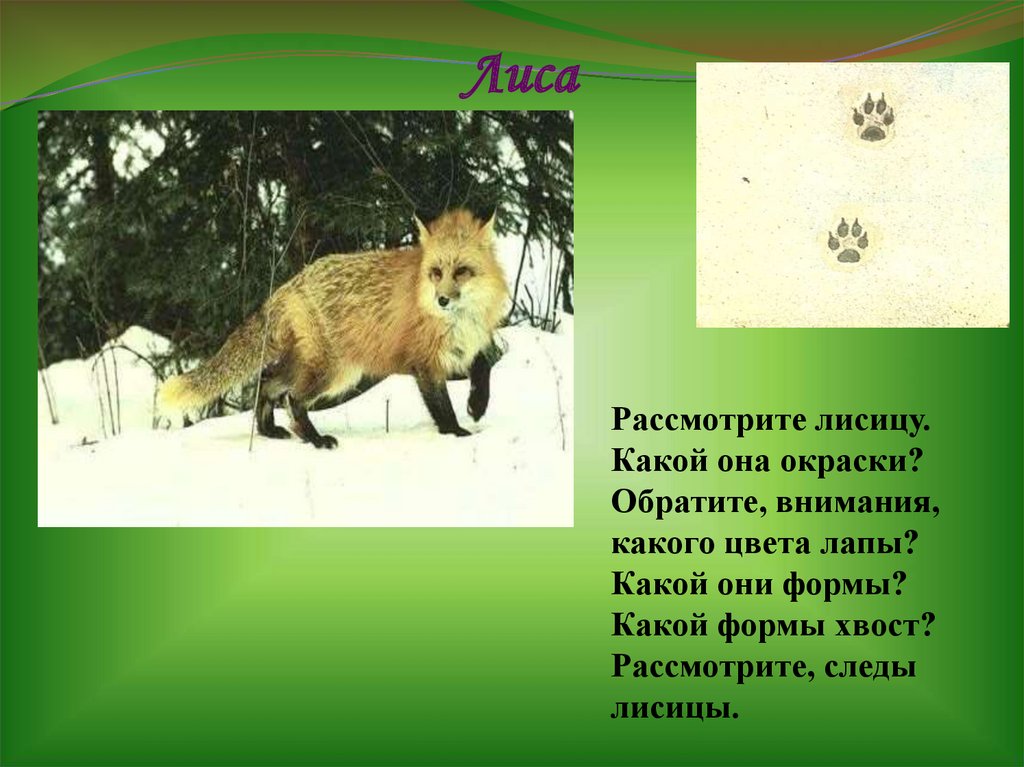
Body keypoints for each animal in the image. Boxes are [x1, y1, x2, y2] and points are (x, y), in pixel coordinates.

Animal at [158, 208, 509, 448]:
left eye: (461, 271)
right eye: (436, 272)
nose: (442, 300)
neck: (458, 320)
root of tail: (289, 284)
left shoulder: (465, 348)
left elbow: (484, 366)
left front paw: (477, 405)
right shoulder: (425, 363)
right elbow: (442, 407)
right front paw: (457, 433)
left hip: (325, 369)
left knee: (267, 382)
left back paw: (270, 431)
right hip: (331, 372)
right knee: (293, 398)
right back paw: (315, 439)